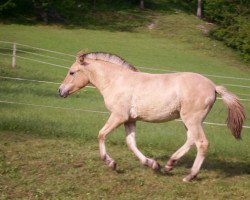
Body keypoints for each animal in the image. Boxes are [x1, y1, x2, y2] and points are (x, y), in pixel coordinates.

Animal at [58, 51, 244, 181]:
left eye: (72, 72)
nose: (60, 91)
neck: (116, 81)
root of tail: (213, 86)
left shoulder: (118, 116)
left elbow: (101, 134)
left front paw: (111, 163)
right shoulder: (130, 120)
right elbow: (131, 143)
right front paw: (153, 164)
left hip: (192, 119)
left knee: (202, 143)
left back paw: (189, 176)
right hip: (190, 120)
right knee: (191, 139)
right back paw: (169, 165)